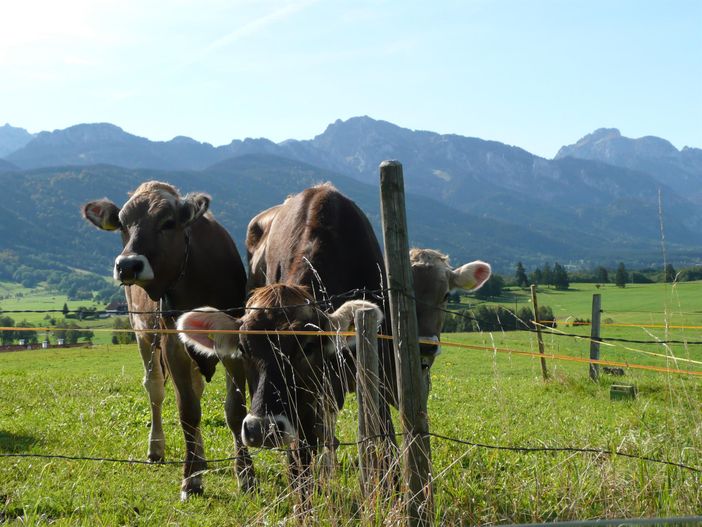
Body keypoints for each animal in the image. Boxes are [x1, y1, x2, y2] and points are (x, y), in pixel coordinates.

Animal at [81, 182, 252, 500]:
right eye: (122, 224)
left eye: (168, 223)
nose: (128, 265)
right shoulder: (173, 345)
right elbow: (187, 411)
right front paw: (191, 479)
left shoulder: (231, 342)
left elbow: (235, 410)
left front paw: (246, 476)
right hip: (144, 335)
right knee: (157, 390)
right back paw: (159, 449)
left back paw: (202, 457)